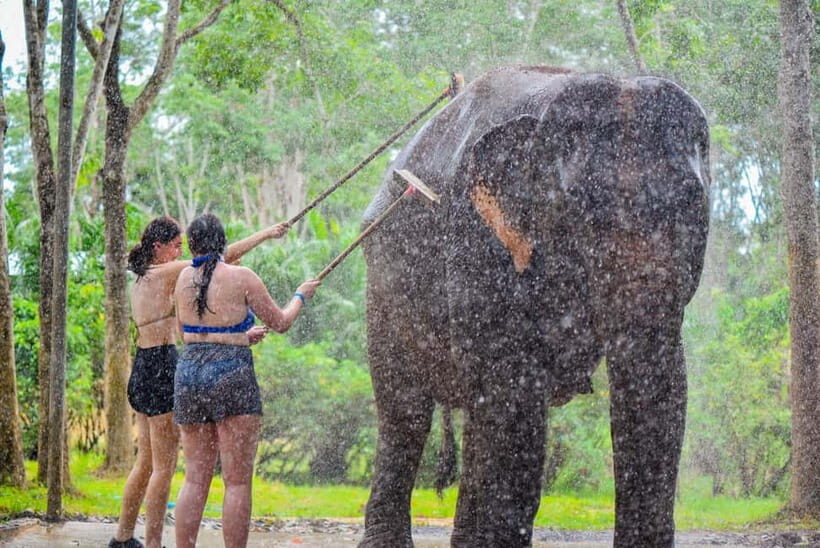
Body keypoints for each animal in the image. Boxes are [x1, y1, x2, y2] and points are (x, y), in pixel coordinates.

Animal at [359, 65, 710, 547]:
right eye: (583, 208)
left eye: (693, 202)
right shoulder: (475, 236)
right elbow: (514, 390)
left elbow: (664, 391)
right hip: (383, 284)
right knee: (405, 412)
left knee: (474, 416)